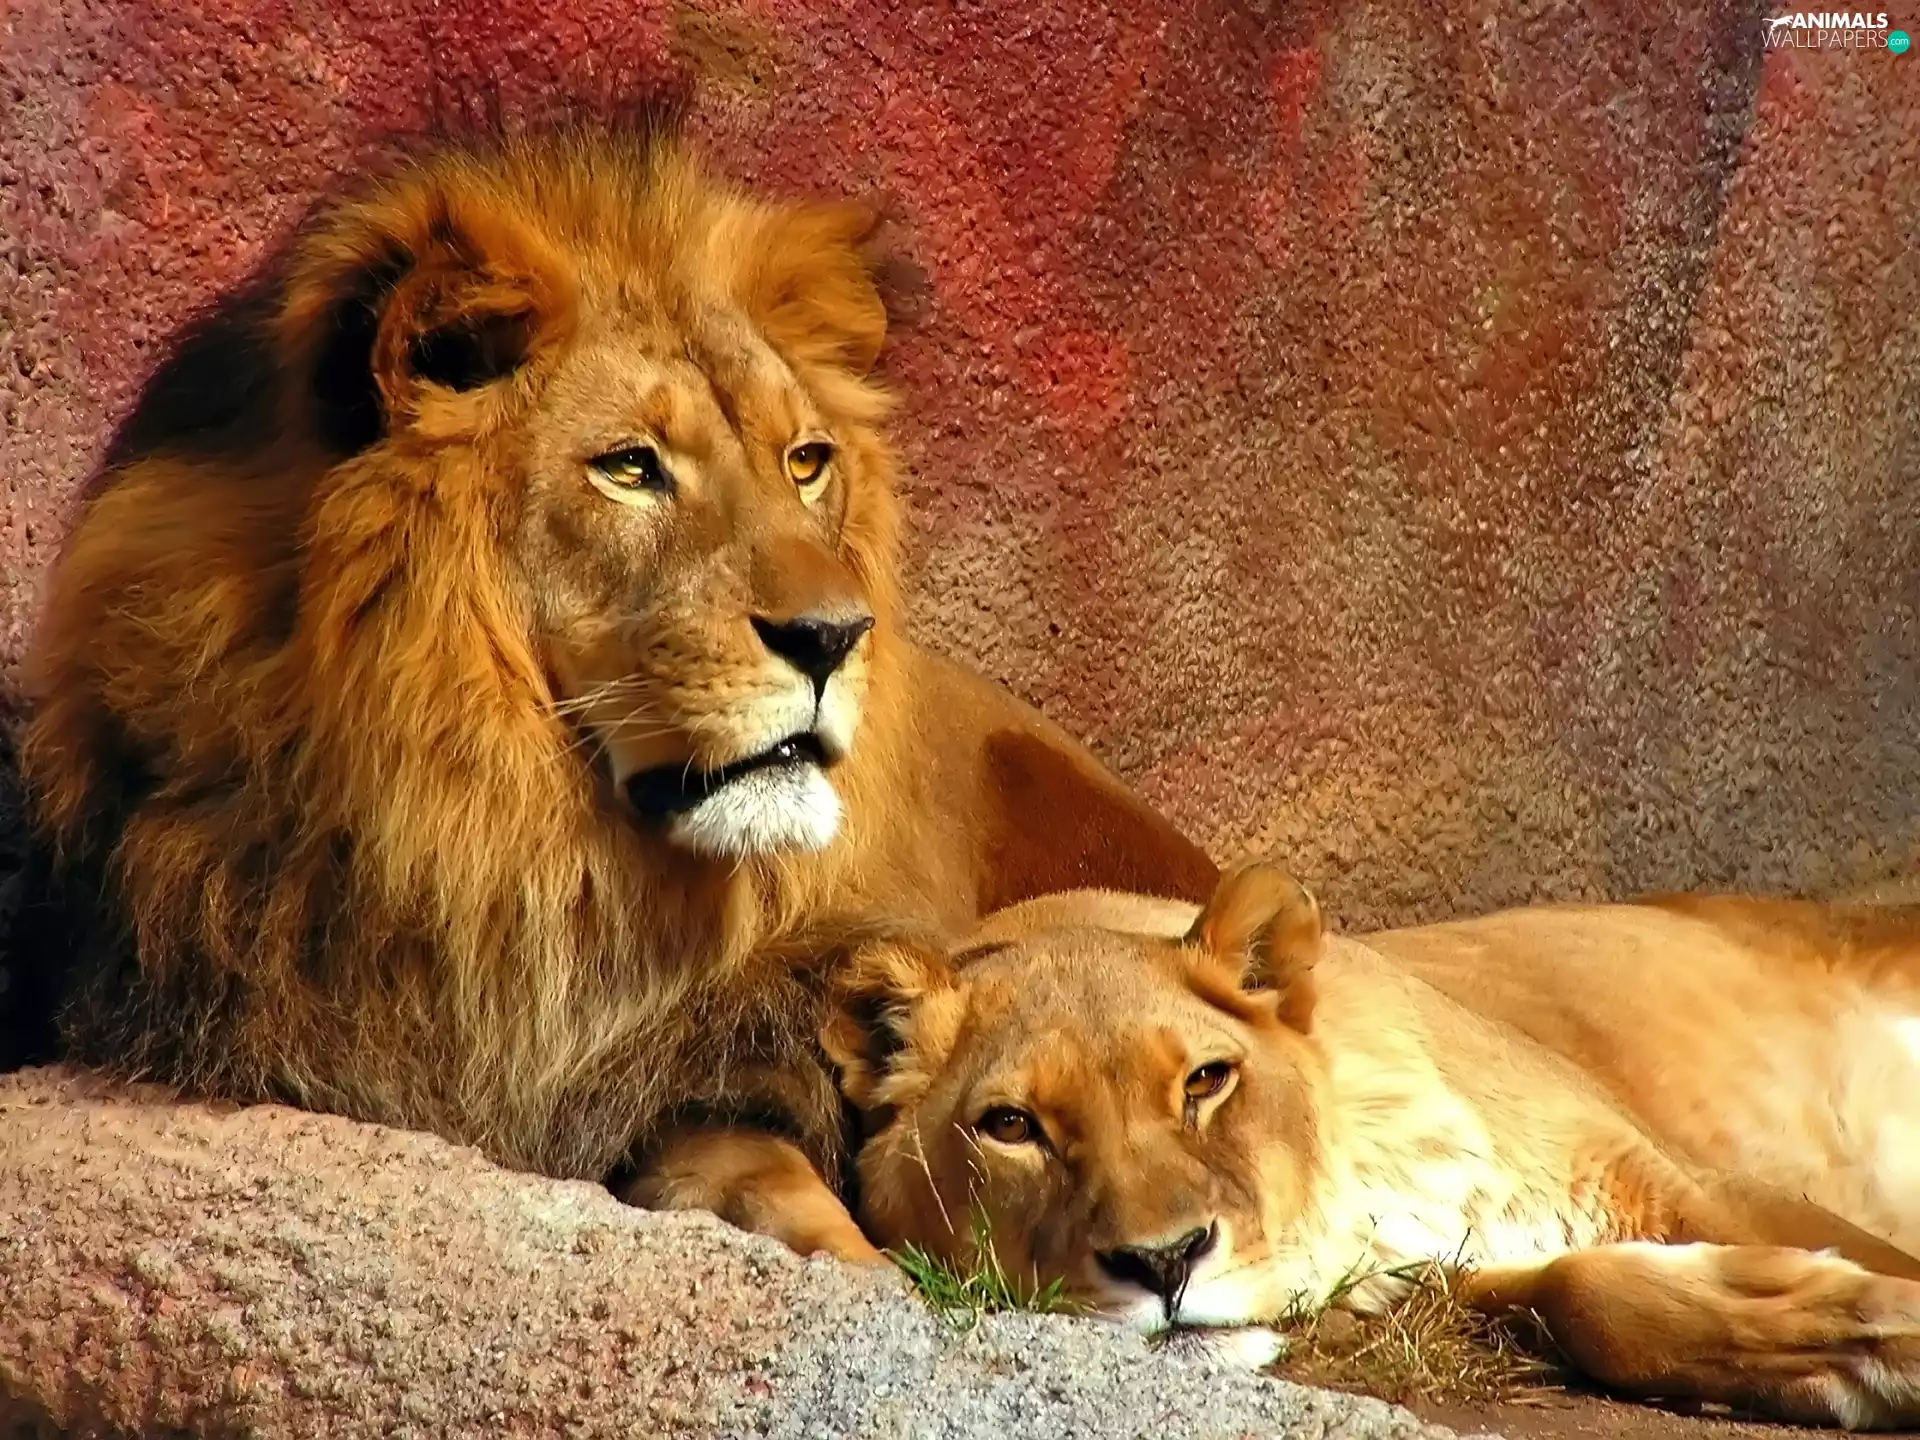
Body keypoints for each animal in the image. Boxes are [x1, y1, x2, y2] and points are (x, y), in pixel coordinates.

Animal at [815, 862, 1920, 1427]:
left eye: (1205, 1081)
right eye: (1013, 1127)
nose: (1164, 1264)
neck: (1373, 1175)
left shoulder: (1676, 1175)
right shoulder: (1451, 1275)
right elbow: (1587, 1298)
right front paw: (1856, 1341)